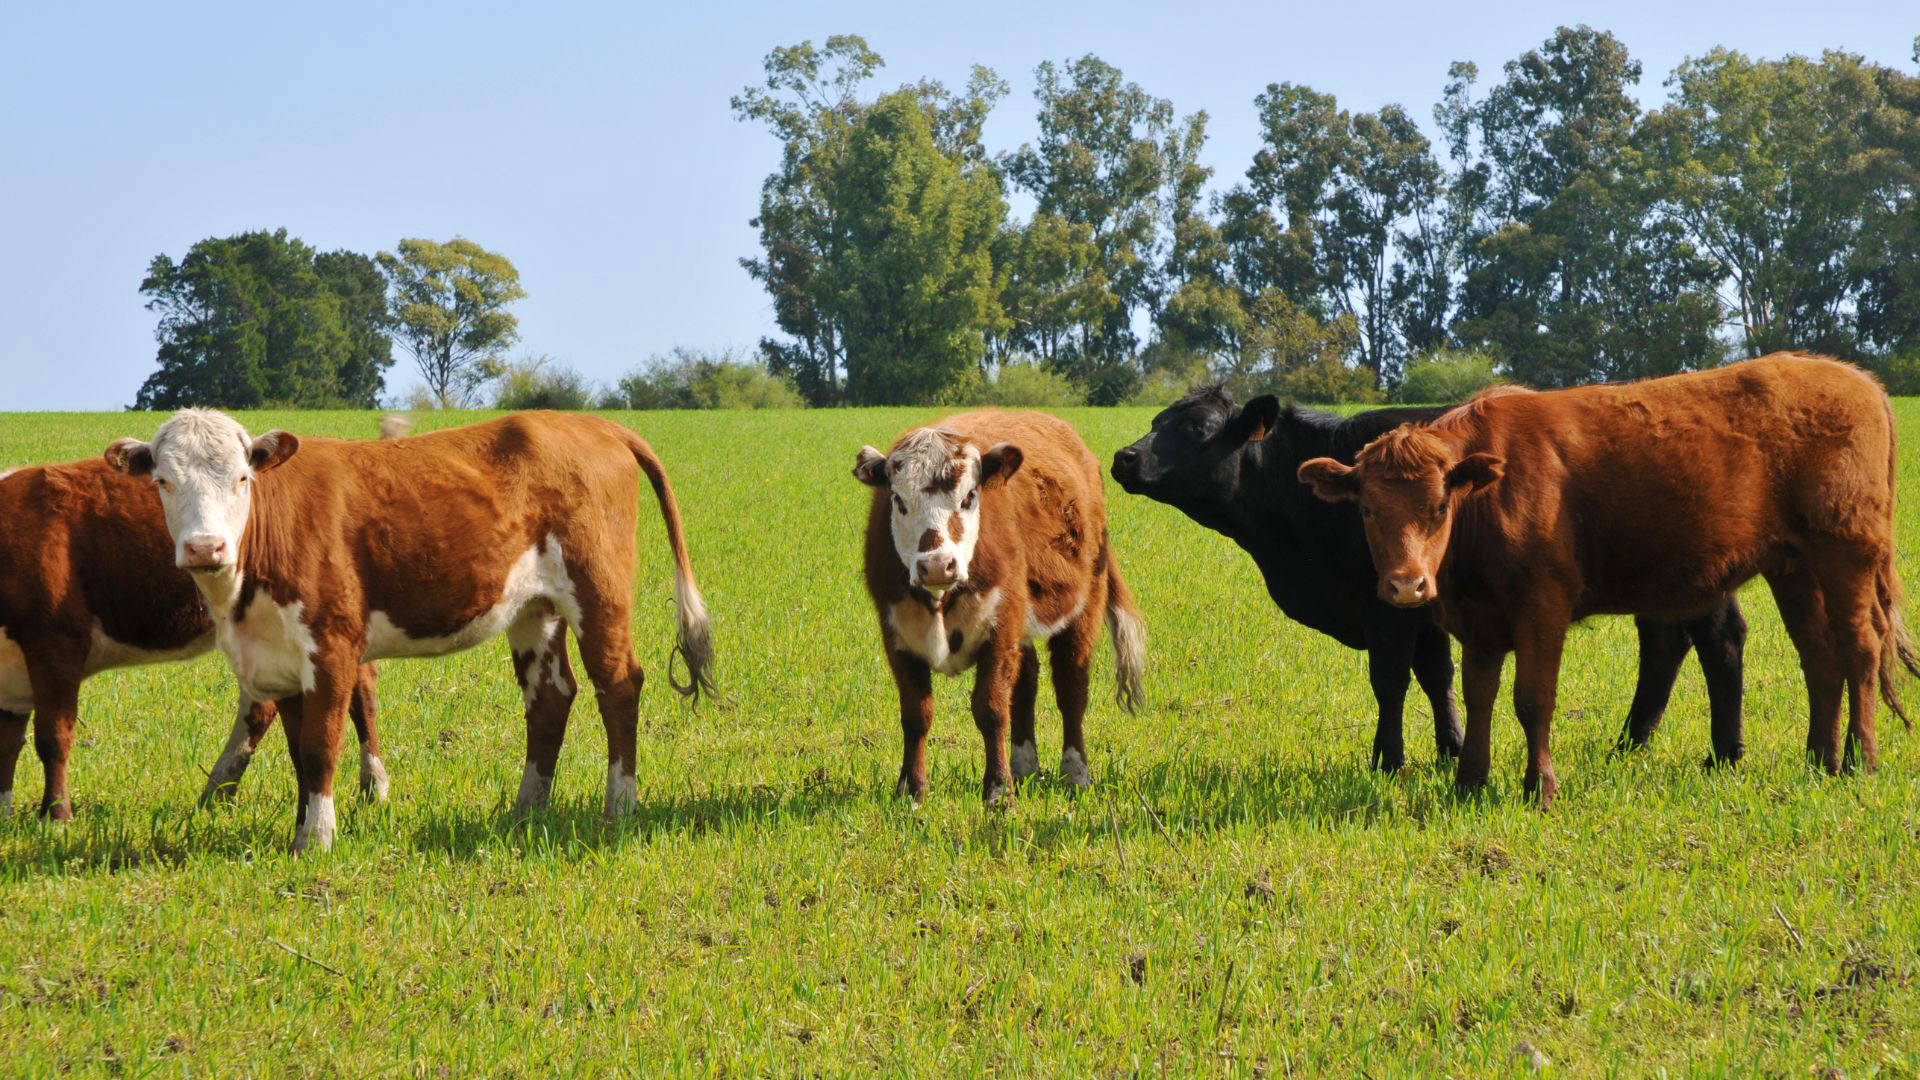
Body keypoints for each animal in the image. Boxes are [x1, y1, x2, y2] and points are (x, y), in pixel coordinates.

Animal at [0, 453, 382, 814]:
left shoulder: (57, 642)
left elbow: (52, 737)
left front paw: (55, 815)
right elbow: (8, 743)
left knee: (357, 696)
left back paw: (373, 787)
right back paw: (218, 791)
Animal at [103, 405, 714, 849]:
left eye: (241, 477)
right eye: (162, 480)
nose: (205, 547)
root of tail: (592, 422)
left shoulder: (332, 645)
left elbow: (321, 745)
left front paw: (318, 840)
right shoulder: (280, 657)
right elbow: (299, 752)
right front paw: (300, 832)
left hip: (598, 590)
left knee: (619, 685)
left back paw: (620, 807)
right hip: (534, 608)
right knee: (550, 696)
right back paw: (526, 809)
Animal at [856, 409, 1136, 799]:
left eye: (969, 496)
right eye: (898, 500)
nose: (937, 565)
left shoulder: (1001, 627)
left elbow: (991, 709)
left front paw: (999, 792)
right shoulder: (896, 634)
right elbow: (916, 714)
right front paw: (911, 791)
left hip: (1085, 606)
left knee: (1071, 688)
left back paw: (1075, 774)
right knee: (1026, 684)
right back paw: (1025, 767)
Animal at [1105, 382, 1751, 768]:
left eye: (1195, 430)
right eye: (1156, 419)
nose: (1123, 457)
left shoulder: (1385, 604)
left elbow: (1390, 679)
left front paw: (1388, 760)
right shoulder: (1418, 601)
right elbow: (1437, 675)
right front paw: (1451, 748)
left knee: (1716, 639)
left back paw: (1723, 753)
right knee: (1665, 642)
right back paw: (1630, 743)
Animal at [1297, 353, 1912, 799]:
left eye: (1440, 506)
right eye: (1367, 509)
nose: (1407, 586)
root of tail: (1855, 377)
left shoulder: (1543, 604)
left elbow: (1532, 697)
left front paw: (1539, 788)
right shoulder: (1479, 618)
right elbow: (1479, 695)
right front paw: (1469, 783)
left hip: (1847, 552)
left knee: (1859, 647)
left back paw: (1858, 761)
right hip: (1794, 566)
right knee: (1819, 656)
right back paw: (1818, 759)